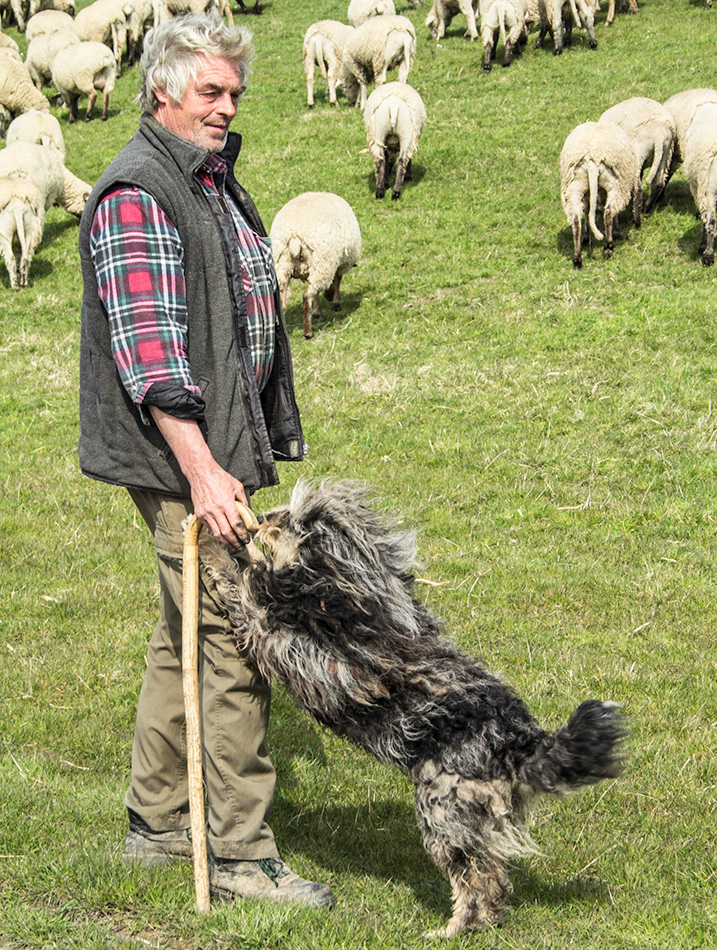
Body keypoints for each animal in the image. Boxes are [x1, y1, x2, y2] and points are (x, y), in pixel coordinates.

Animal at [199, 484, 624, 936]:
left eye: (296, 523)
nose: (262, 516)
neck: (342, 592)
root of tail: (521, 741)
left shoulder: (276, 633)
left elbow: (239, 582)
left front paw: (210, 541)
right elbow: (249, 573)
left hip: (444, 812)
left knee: (476, 877)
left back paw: (454, 928)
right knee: (492, 876)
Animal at [268, 192, 360, 340]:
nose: (328, 297)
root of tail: (294, 237)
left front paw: (318, 312)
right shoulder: (339, 265)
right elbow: (337, 281)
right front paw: (335, 303)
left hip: (283, 265)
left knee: (282, 301)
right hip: (322, 264)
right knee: (306, 296)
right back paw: (308, 333)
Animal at [556, 120, 640, 268]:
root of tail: (591, 158)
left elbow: (588, 210)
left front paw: (586, 236)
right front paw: (616, 232)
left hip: (574, 186)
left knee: (576, 218)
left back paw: (577, 259)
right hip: (615, 184)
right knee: (609, 212)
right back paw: (608, 247)